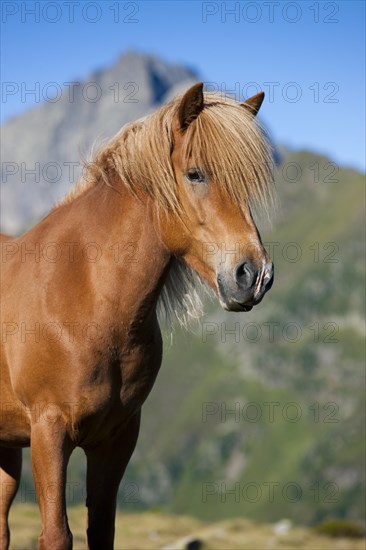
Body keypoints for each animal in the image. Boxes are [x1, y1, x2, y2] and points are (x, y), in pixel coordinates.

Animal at [0, 83, 274, 550]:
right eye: (195, 174)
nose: (253, 276)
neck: (84, 297)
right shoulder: (48, 432)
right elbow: (56, 534)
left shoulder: (117, 438)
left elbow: (101, 531)